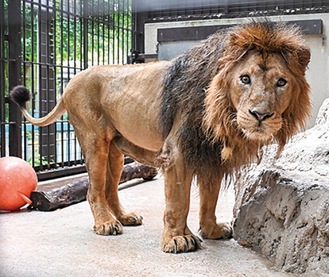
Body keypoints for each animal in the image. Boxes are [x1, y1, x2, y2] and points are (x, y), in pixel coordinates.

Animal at [9, 21, 308, 253]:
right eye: (244, 79)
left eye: (281, 82)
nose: (260, 115)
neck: (221, 111)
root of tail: (72, 81)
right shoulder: (178, 152)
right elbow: (178, 202)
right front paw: (178, 239)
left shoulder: (209, 154)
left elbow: (209, 198)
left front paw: (211, 229)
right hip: (94, 141)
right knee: (94, 190)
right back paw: (105, 223)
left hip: (116, 151)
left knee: (109, 188)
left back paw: (125, 217)